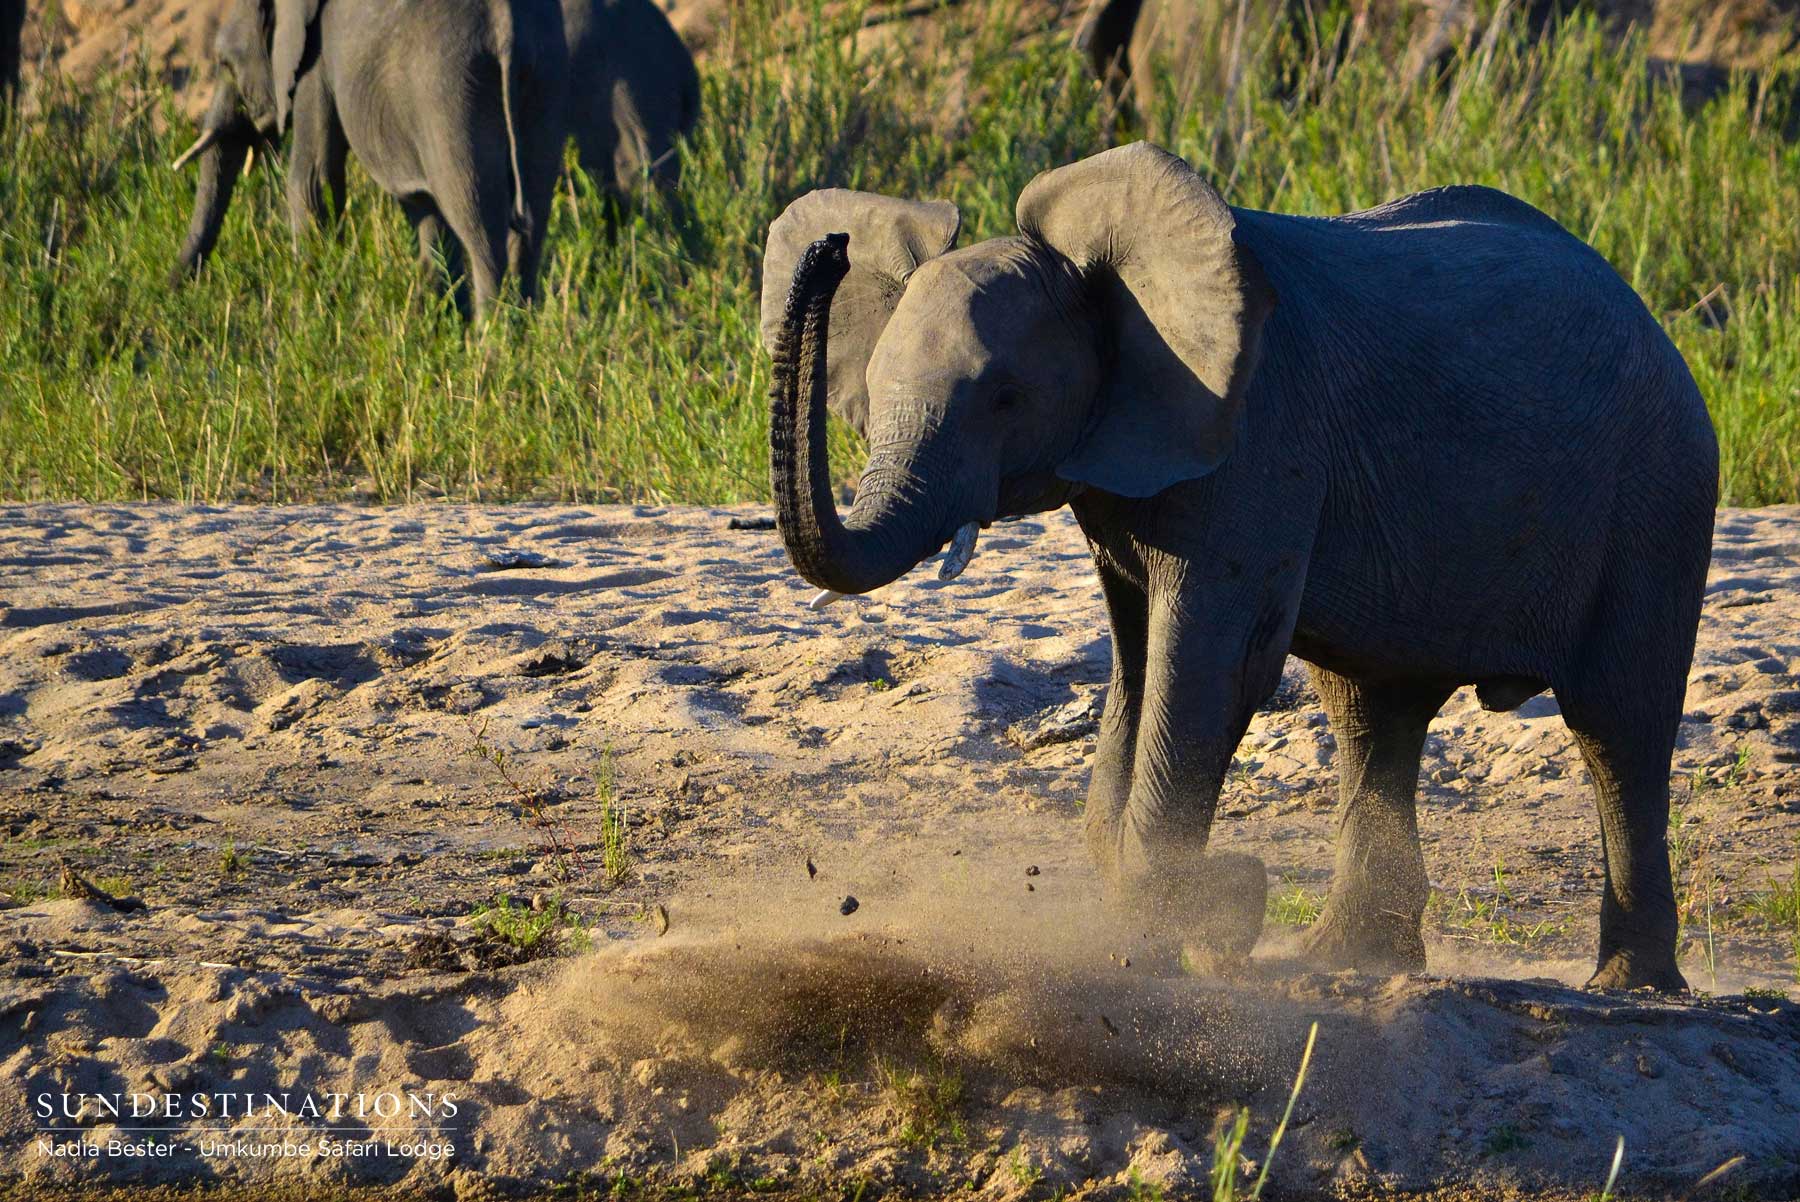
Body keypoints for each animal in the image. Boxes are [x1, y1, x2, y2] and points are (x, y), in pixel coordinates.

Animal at [170, 0, 570, 317]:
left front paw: (309, 325)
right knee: (531, 223)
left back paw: (489, 354)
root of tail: (505, 26)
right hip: (545, 77)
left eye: (225, 63)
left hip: (451, 92)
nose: (173, 290)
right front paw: (440, 331)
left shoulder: (316, 58)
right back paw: (519, 343)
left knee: (479, 225)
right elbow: (426, 214)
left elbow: (313, 180)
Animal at [759, 142, 1717, 992]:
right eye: (875, 391)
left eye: (1003, 398)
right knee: (1373, 716)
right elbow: (1139, 666)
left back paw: (1628, 985)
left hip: (1658, 492)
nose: (831, 250)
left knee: (1617, 724)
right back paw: (1349, 962)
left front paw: (1203, 921)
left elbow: (1208, 670)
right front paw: (1182, 921)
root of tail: (1650, 318)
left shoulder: (1260, 437)